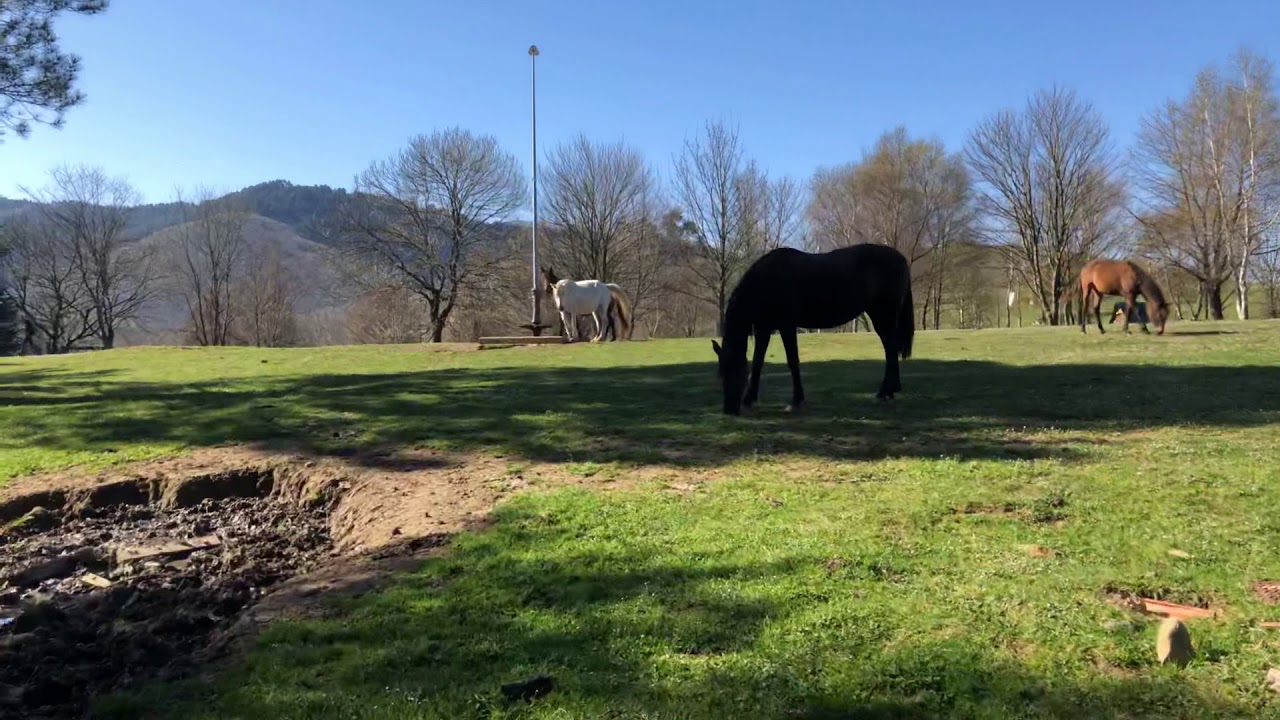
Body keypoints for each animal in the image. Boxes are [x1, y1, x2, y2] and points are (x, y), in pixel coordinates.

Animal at [710, 243, 915, 416]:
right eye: (721, 373)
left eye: (736, 371)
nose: (729, 410)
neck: (768, 281)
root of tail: (901, 259)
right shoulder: (764, 328)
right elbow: (757, 362)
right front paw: (749, 399)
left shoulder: (786, 325)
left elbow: (792, 360)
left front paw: (796, 400)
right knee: (890, 349)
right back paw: (889, 391)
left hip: (884, 316)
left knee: (891, 349)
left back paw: (885, 392)